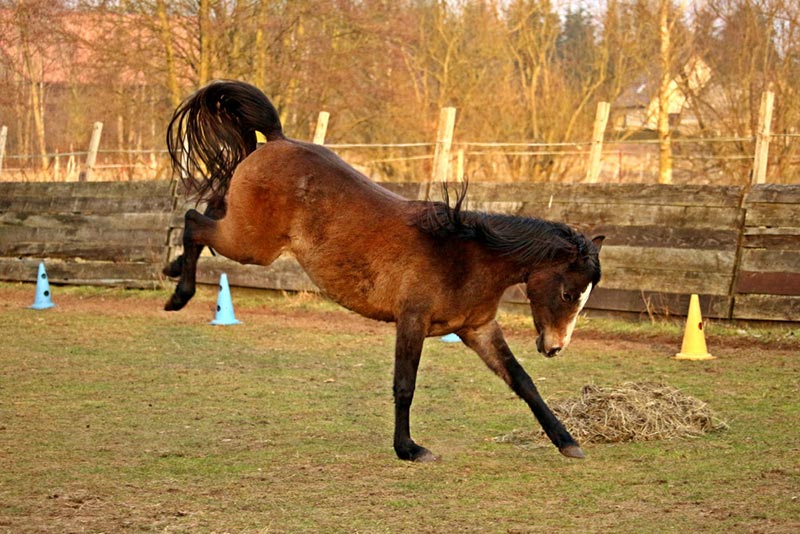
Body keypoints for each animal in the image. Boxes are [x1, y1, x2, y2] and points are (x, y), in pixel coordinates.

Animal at [166, 80, 604, 464]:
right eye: (568, 293)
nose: (555, 347)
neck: (467, 256)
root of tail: (276, 140)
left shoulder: (478, 329)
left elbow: (523, 381)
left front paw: (568, 442)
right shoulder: (411, 321)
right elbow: (405, 385)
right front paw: (409, 449)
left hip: (246, 232)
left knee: (209, 208)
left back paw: (172, 269)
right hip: (253, 245)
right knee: (193, 221)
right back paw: (178, 295)